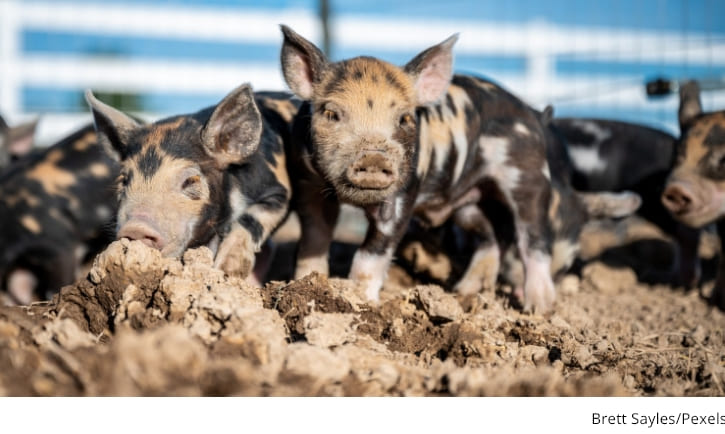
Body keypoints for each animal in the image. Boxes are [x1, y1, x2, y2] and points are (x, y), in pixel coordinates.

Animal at [85, 85, 298, 280]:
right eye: (124, 180)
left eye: (190, 180)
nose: (135, 228)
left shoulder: (278, 190)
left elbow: (251, 220)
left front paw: (227, 270)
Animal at [280, 26, 566, 312]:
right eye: (331, 114)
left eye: (404, 118)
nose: (374, 158)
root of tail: (532, 114)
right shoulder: (309, 186)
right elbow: (313, 241)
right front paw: (305, 283)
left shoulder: (403, 194)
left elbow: (370, 255)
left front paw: (363, 301)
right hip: (469, 204)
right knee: (493, 235)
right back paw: (463, 292)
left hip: (528, 177)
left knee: (535, 238)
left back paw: (538, 307)